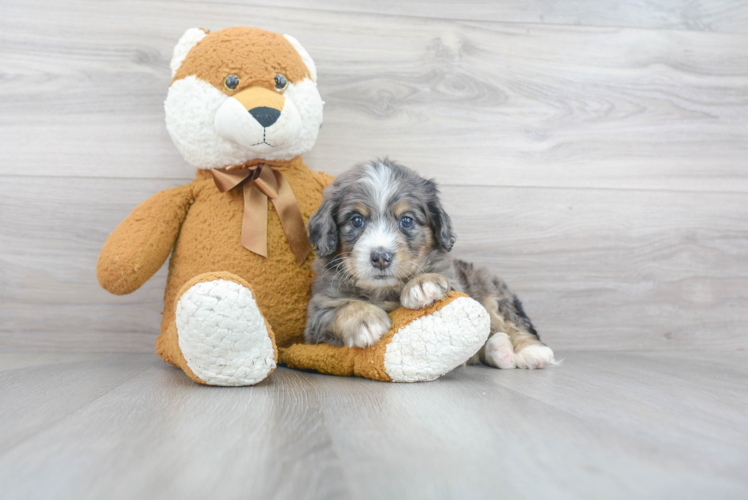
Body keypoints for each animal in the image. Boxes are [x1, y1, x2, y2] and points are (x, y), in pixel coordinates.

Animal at [304, 158, 556, 370]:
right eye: (357, 220)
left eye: (406, 220)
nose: (381, 257)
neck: (383, 291)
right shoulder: (316, 314)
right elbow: (338, 309)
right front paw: (365, 319)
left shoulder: (458, 285)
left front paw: (424, 284)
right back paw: (500, 350)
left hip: (491, 289)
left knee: (512, 321)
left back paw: (532, 352)